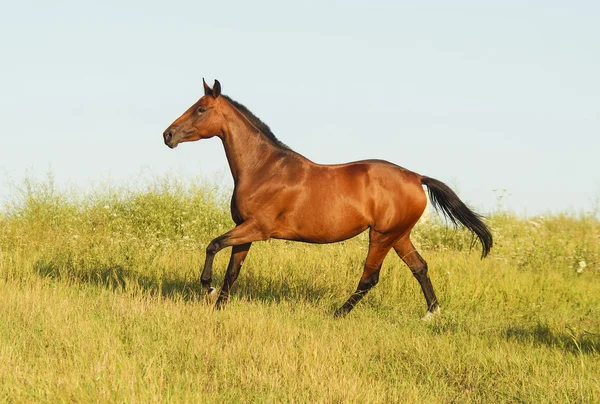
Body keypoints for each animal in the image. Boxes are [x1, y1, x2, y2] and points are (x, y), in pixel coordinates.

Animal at [164, 79, 492, 318]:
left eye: (201, 109)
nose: (167, 135)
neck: (263, 168)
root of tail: (416, 177)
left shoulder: (258, 228)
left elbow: (213, 245)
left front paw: (207, 288)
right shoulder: (244, 230)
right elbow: (232, 271)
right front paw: (219, 307)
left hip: (382, 236)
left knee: (370, 277)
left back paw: (338, 313)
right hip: (399, 235)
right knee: (420, 267)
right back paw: (432, 313)